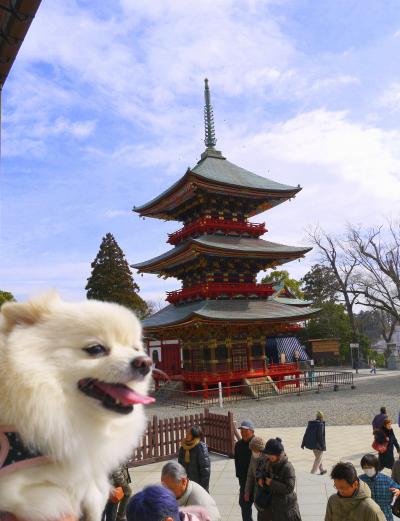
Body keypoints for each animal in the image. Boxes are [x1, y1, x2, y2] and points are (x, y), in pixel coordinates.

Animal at [0, 292, 154, 520]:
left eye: (135, 348)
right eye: (96, 349)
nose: (145, 362)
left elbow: (93, 492)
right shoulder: (17, 490)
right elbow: (54, 496)